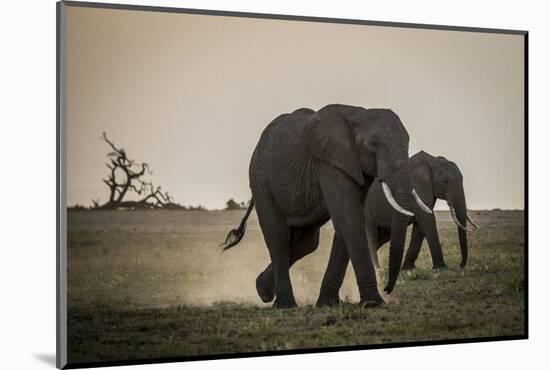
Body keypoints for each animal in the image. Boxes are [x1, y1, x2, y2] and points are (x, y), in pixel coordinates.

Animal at [222, 102, 434, 308]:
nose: (387, 290)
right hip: (261, 182)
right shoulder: (330, 165)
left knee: (306, 243)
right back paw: (285, 305)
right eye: (373, 144)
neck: (358, 113)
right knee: (278, 237)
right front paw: (373, 303)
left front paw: (327, 304)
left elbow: (345, 224)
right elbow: (349, 219)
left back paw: (262, 290)